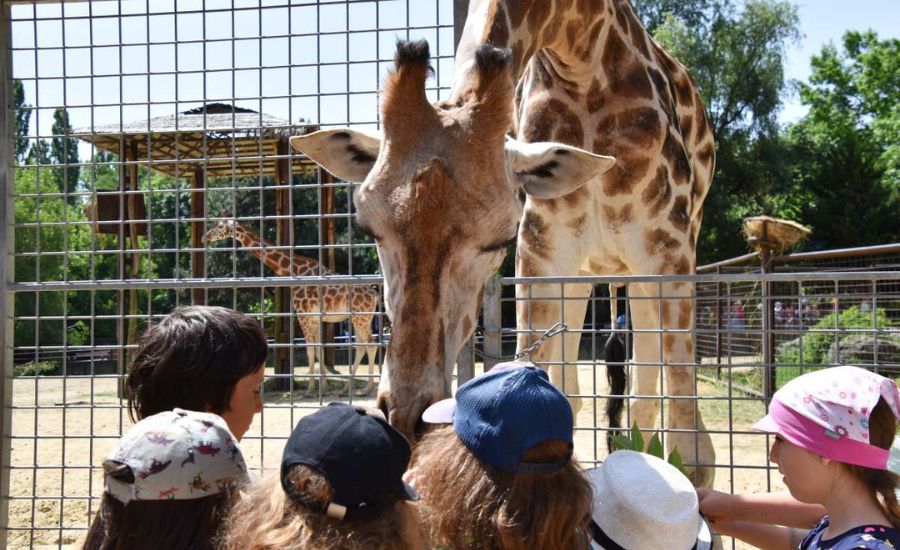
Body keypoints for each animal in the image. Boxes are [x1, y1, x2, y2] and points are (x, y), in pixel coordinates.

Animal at [202, 220, 382, 396]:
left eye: (219, 225)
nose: (205, 238)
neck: (294, 269)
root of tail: (374, 294)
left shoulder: (303, 313)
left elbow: (310, 350)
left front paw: (310, 389)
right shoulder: (314, 316)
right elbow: (319, 350)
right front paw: (324, 387)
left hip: (361, 317)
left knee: (370, 345)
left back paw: (367, 389)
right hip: (359, 317)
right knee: (362, 346)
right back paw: (347, 390)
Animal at [294, 0, 716, 486]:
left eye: (497, 238)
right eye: (368, 228)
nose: (405, 414)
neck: (582, 54)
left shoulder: (668, 250)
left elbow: (690, 446)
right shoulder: (542, 254)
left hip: (647, 270)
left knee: (651, 403)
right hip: (584, 275)